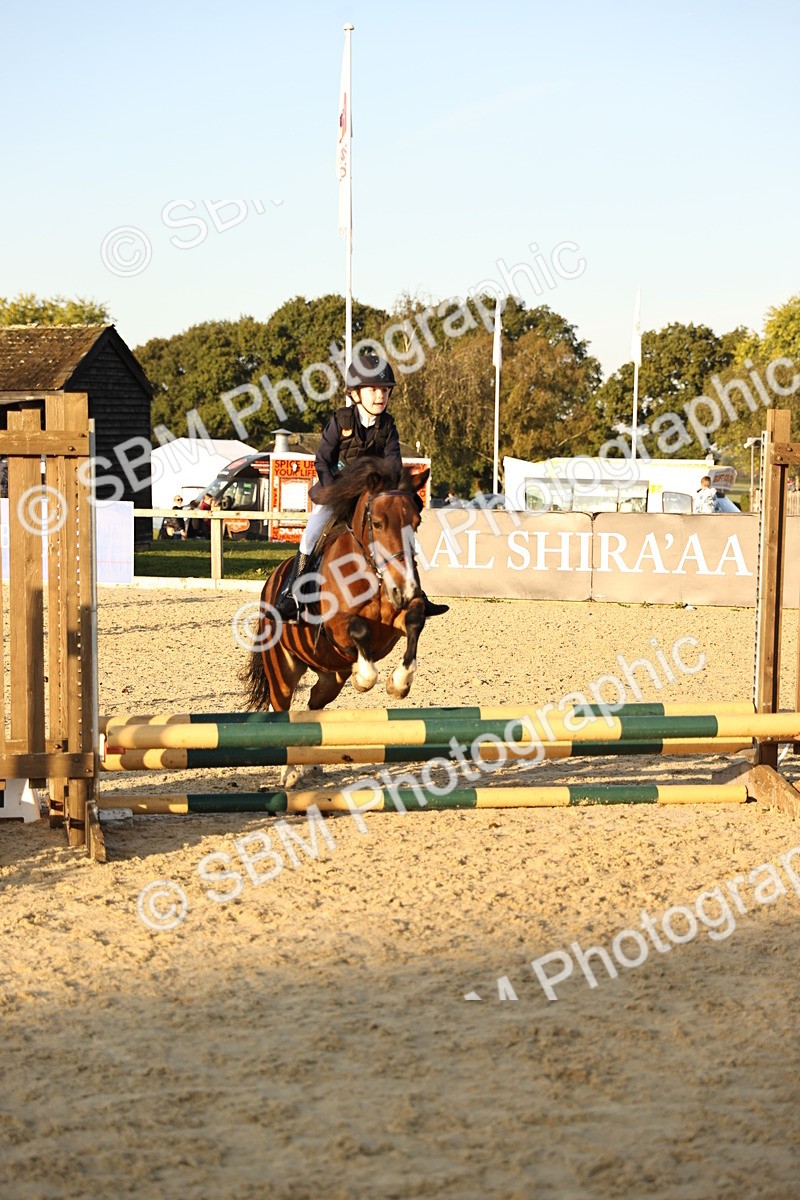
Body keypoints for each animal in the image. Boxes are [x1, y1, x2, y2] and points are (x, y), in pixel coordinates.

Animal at [243, 457, 430, 786]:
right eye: (377, 523)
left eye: (416, 523)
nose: (405, 589)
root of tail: (270, 583)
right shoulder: (337, 627)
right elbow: (359, 630)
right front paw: (364, 676)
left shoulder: (395, 623)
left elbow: (414, 623)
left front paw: (398, 683)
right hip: (281, 672)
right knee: (282, 710)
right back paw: (289, 772)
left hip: (329, 678)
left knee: (313, 707)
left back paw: (309, 763)